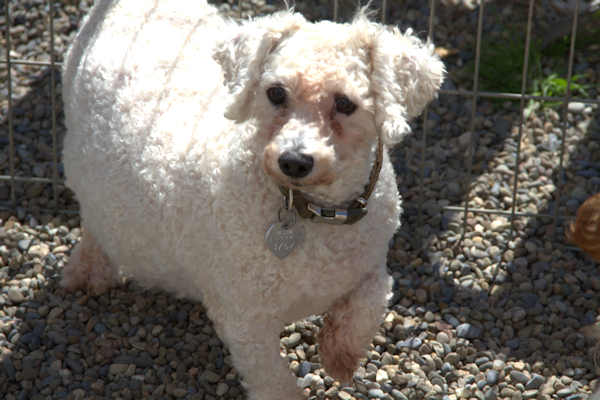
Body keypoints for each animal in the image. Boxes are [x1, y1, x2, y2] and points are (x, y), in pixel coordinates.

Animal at [61, 1, 442, 398]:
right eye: (276, 93)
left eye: (344, 103)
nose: (293, 161)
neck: (316, 211)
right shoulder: (244, 319)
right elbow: (273, 381)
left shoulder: (371, 261)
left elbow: (371, 299)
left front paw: (340, 354)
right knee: (91, 217)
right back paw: (89, 271)